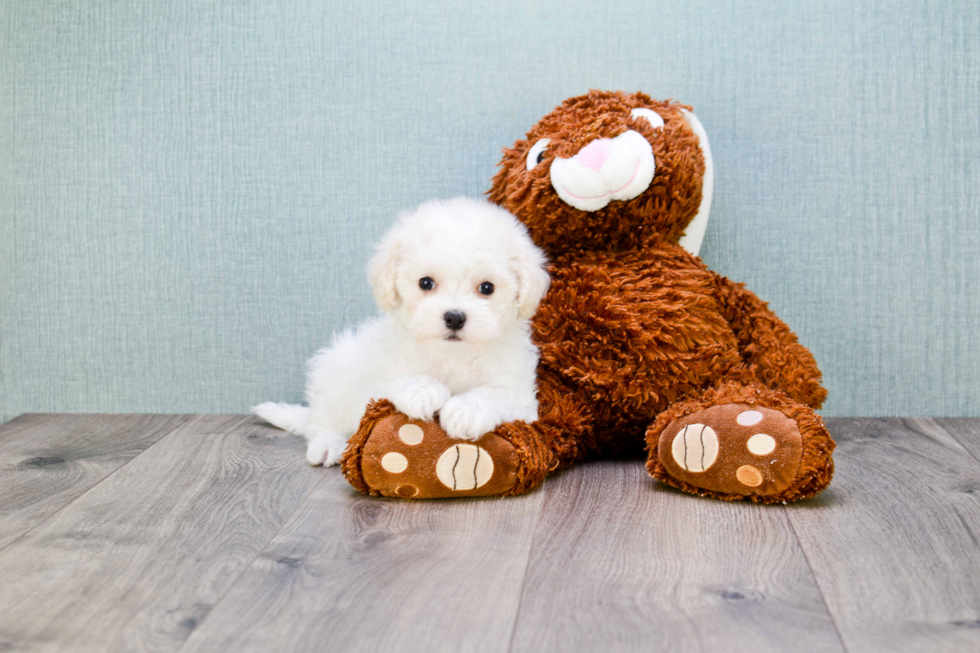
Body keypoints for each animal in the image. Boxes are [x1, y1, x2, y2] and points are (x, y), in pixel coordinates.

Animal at [255, 196, 552, 466]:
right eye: (426, 283)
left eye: (487, 288)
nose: (454, 317)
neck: (453, 353)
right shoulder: (380, 374)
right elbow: (399, 377)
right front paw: (422, 391)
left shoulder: (521, 395)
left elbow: (495, 392)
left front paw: (466, 409)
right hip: (335, 374)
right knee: (322, 421)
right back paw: (327, 444)